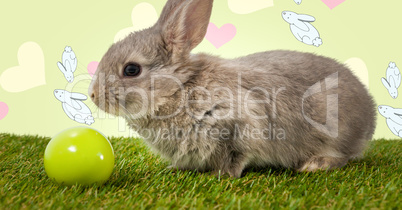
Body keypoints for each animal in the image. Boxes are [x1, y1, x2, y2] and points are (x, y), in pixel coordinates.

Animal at [88, 0, 376, 177]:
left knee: (342, 155)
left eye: (131, 70)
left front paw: (223, 175)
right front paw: (174, 170)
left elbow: (237, 155)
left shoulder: (240, 126)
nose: (93, 95)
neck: (179, 89)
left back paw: (314, 165)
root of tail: (370, 115)